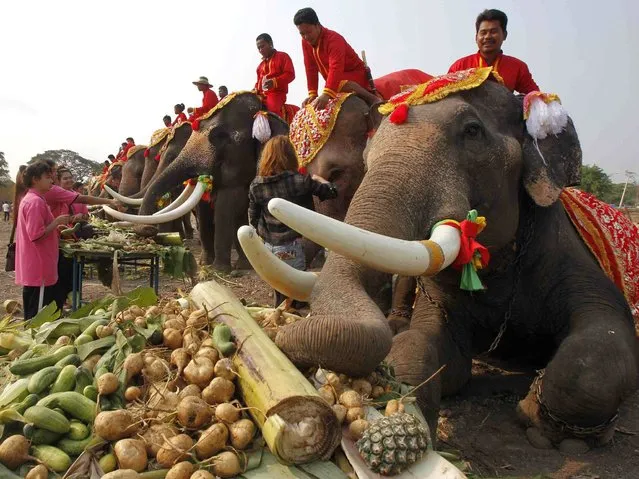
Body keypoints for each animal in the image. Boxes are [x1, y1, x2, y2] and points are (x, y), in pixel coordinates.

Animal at [248, 69, 639, 452]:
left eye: (472, 131)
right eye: (367, 155)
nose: (278, 333)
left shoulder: (569, 255)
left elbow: (599, 349)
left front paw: (542, 425)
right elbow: (427, 349)